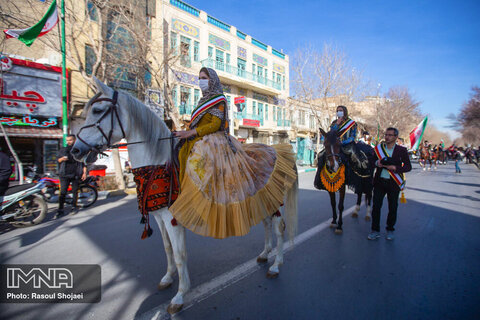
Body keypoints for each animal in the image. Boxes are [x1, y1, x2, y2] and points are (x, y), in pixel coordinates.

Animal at [71, 79, 298, 314]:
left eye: (98, 110)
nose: (76, 151)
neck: (158, 161)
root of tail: (275, 150)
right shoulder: (159, 216)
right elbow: (168, 248)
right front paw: (168, 278)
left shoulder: (173, 219)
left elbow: (180, 255)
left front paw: (180, 296)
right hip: (262, 198)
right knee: (266, 223)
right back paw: (264, 254)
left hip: (275, 200)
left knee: (279, 229)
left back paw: (276, 265)